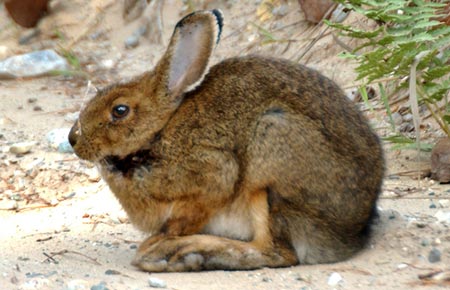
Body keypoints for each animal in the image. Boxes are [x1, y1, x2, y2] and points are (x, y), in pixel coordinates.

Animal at [68, 9, 384, 272]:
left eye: (120, 110)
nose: (73, 139)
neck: (159, 133)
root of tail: (354, 231)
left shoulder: (213, 173)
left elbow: (185, 216)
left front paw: (157, 243)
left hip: (270, 156)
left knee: (274, 252)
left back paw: (180, 254)